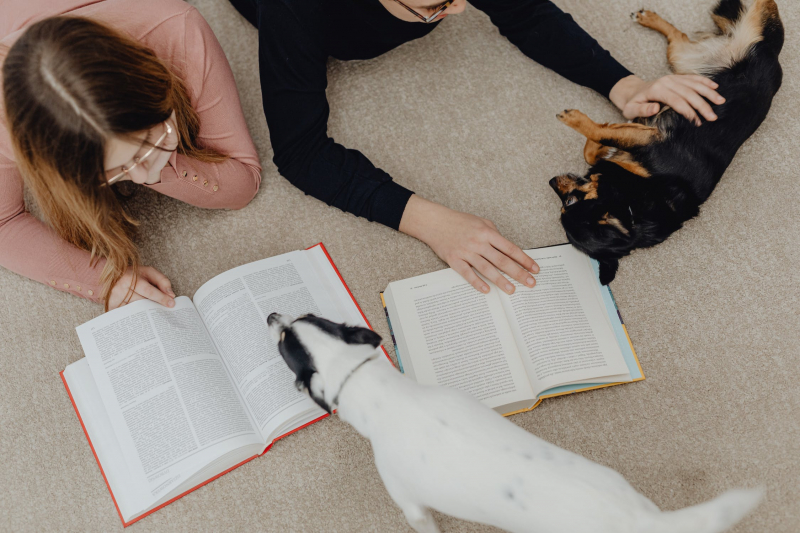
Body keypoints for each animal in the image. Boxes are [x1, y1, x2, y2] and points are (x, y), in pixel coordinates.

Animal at [268, 312, 764, 532]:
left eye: (280, 339)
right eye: (302, 316)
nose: (272, 315)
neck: (377, 388)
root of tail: (633, 520)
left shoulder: (411, 505)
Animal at [552, 0, 780, 282]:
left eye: (569, 203)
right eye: (563, 206)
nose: (551, 181)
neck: (630, 200)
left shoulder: (649, 139)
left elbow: (600, 134)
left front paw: (577, 122)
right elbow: (598, 145)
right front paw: (604, 146)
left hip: (746, 35)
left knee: (764, 8)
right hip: (681, 56)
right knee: (678, 35)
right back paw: (649, 18)